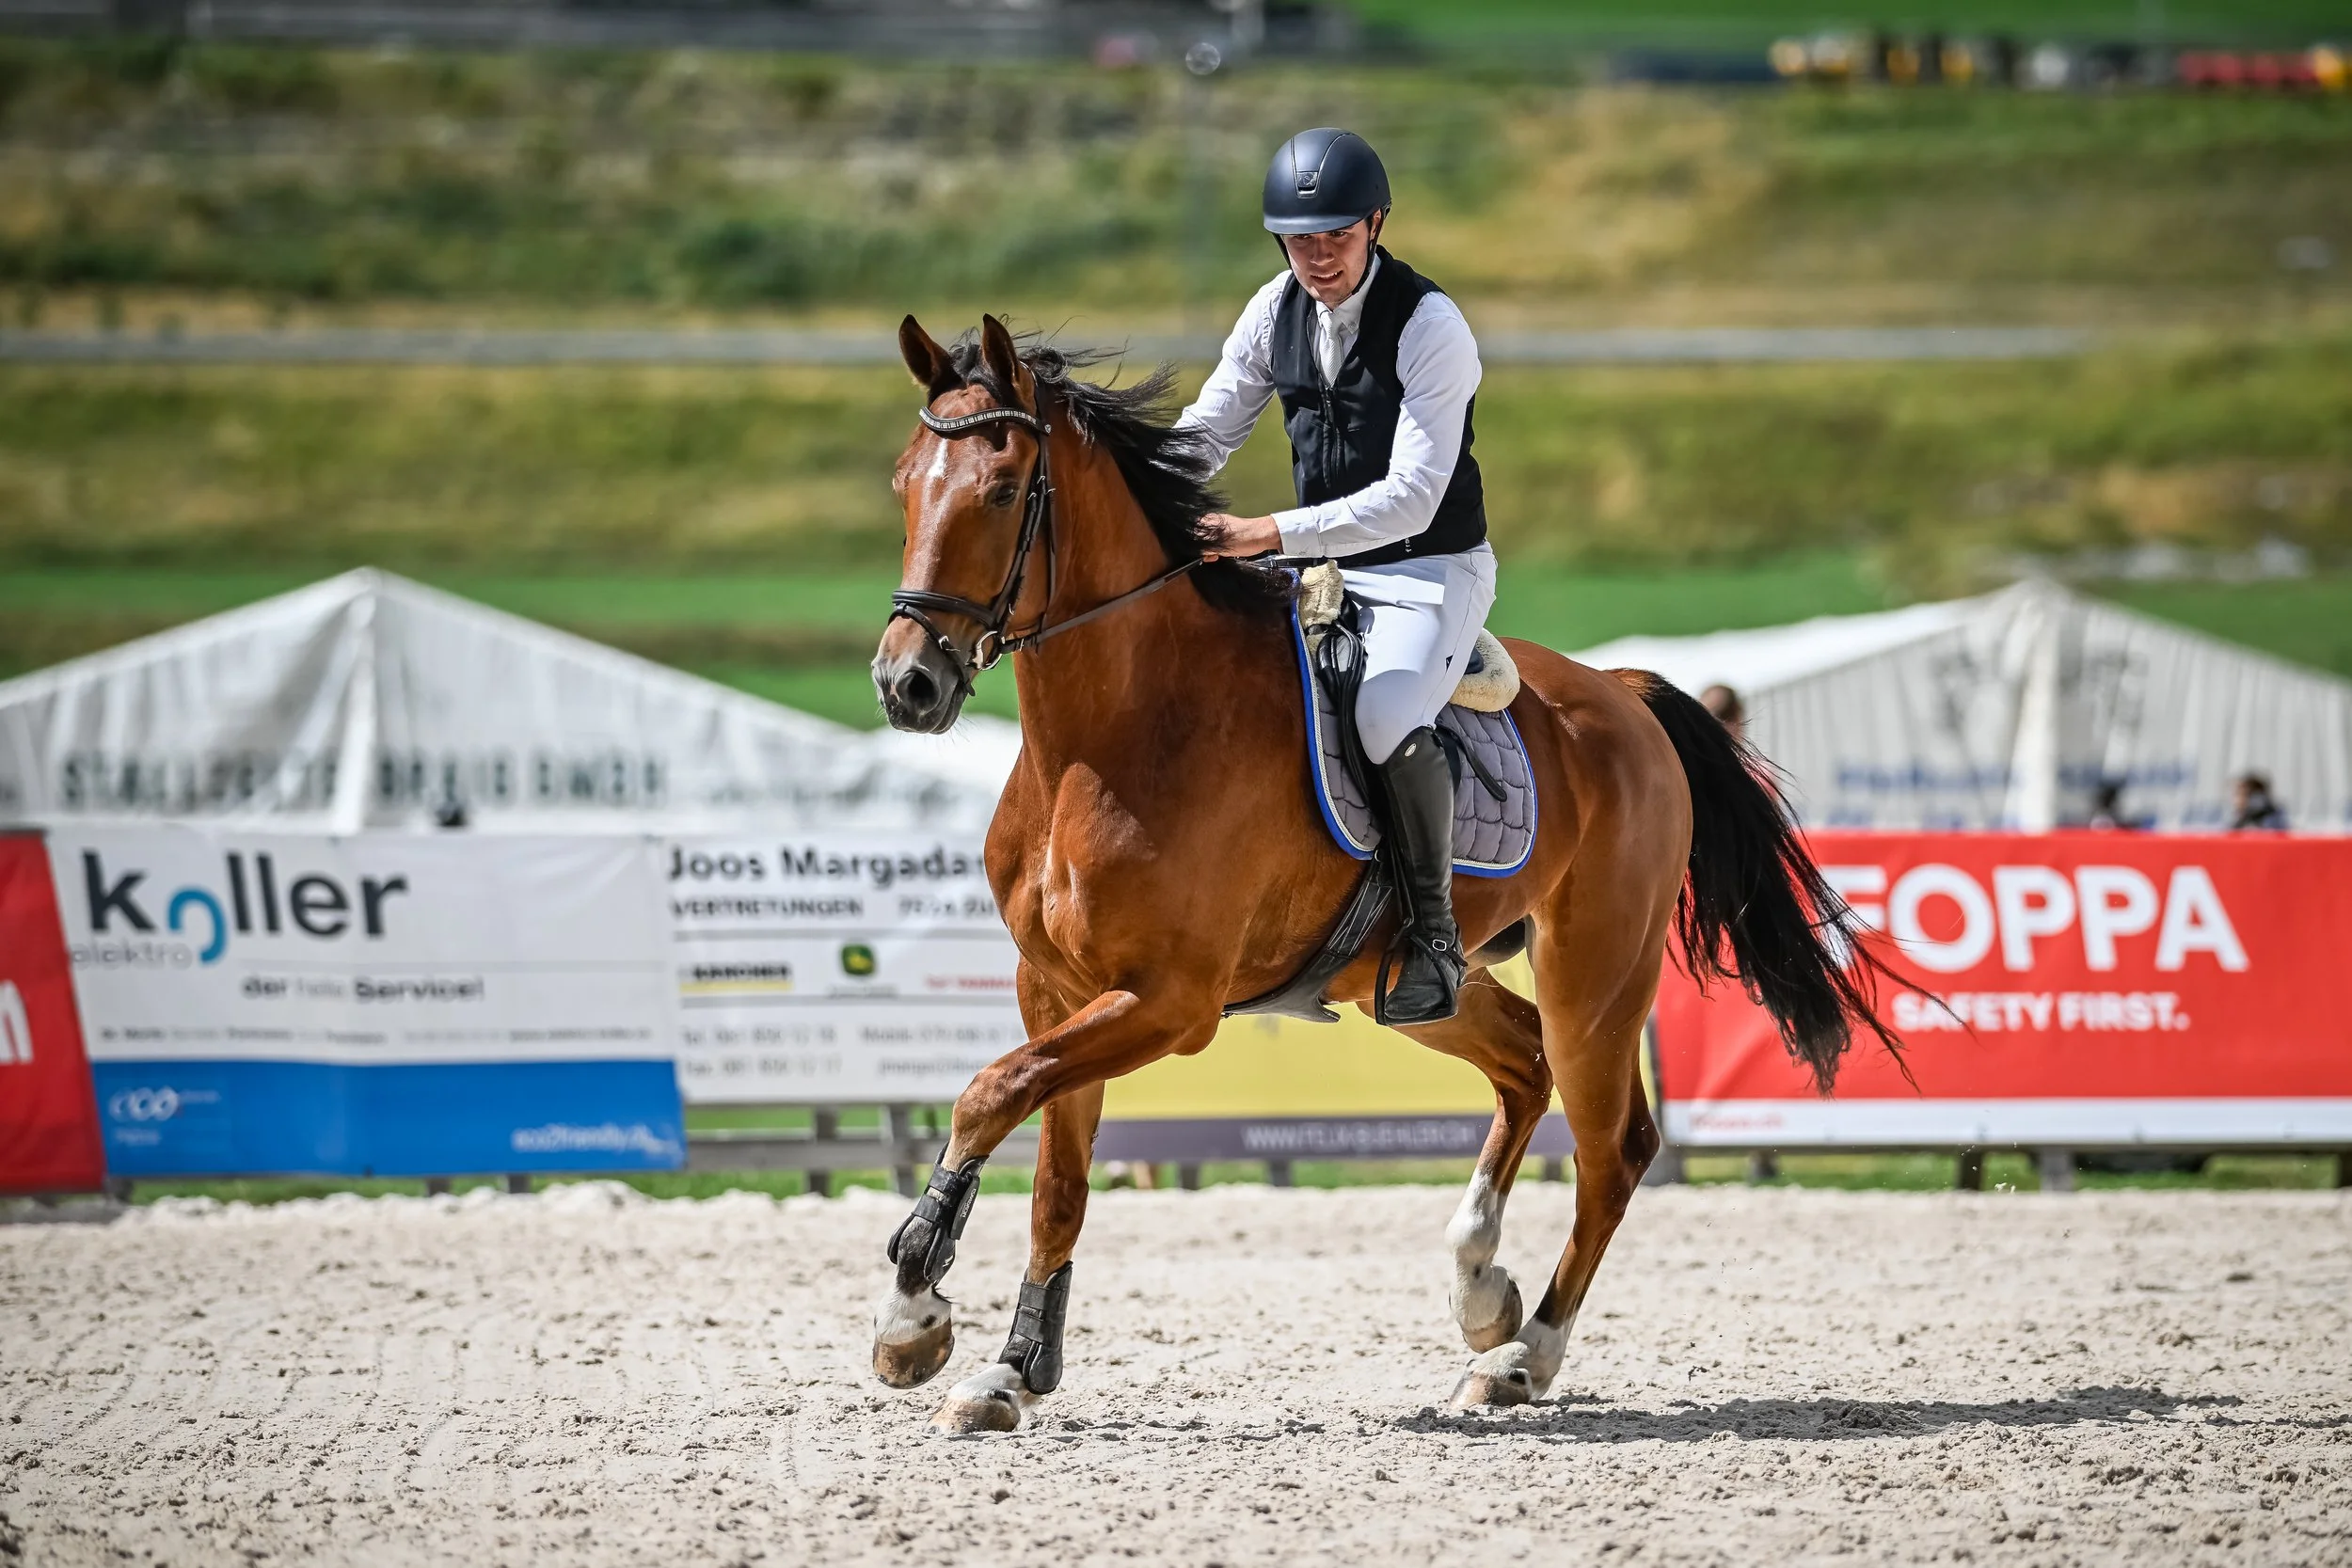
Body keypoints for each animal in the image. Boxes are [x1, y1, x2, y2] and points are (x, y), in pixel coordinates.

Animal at [865, 314, 1894, 1434]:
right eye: (905, 483)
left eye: (1004, 490)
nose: (906, 683)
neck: (1113, 735)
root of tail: (1621, 693)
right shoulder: (1057, 988)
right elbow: (1053, 1170)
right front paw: (1008, 1368)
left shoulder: (1168, 1002)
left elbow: (987, 1092)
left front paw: (914, 1310)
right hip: (1413, 985)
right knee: (1522, 1064)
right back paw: (1481, 1287)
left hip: (1598, 981)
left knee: (1611, 1144)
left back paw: (1522, 1356)